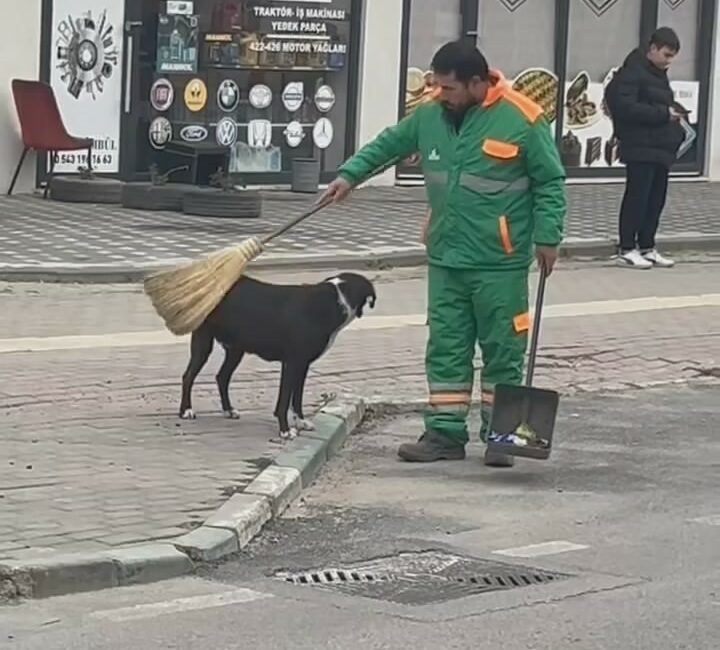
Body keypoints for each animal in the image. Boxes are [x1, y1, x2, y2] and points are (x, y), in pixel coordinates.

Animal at [179, 270, 376, 438]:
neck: (334, 301)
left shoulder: (301, 364)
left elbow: (296, 397)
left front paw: (301, 421)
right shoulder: (293, 362)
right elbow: (284, 400)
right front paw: (285, 430)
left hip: (236, 349)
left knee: (222, 377)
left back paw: (228, 410)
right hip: (203, 343)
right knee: (188, 376)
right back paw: (186, 410)